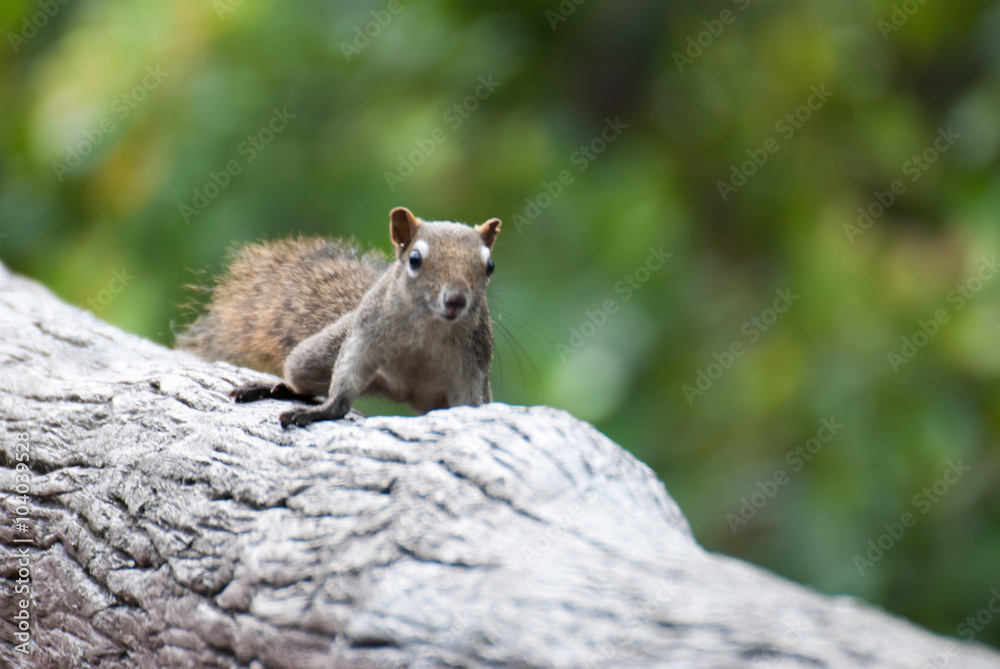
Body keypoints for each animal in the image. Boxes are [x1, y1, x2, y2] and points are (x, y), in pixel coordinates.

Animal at [178, 206, 501, 428]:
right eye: (415, 260)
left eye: (490, 266)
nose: (456, 299)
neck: (430, 324)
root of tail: (403, 392)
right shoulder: (365, 334)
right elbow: (346, 380)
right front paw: (327, 411)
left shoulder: (473, 365)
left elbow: (469, 401)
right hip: (313, 356)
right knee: (305, 380)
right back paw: (277, 389)